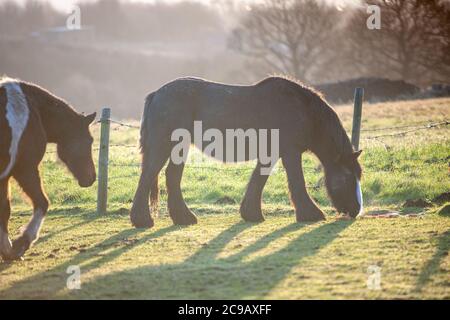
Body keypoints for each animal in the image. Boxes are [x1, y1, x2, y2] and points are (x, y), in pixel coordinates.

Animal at [0, 79, 96, 262]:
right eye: (89, 140)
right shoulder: (25, 170)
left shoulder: (5, 178)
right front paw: (20, 244)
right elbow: (42, 203)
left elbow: (5, 210)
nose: (92, 177)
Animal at [129, 77, 362, 230]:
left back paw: (183, 218)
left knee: (171, 176)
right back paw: (143, 220)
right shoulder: (290, 152)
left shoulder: (271, 153)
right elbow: (297, 181)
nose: (355, 210)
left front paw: (251, 213)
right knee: (149, 174)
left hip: (179, 147)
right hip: (164, 145)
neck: (302, 109)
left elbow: (259, 179)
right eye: (348, 177)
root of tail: (156, 94)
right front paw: (311, 214)